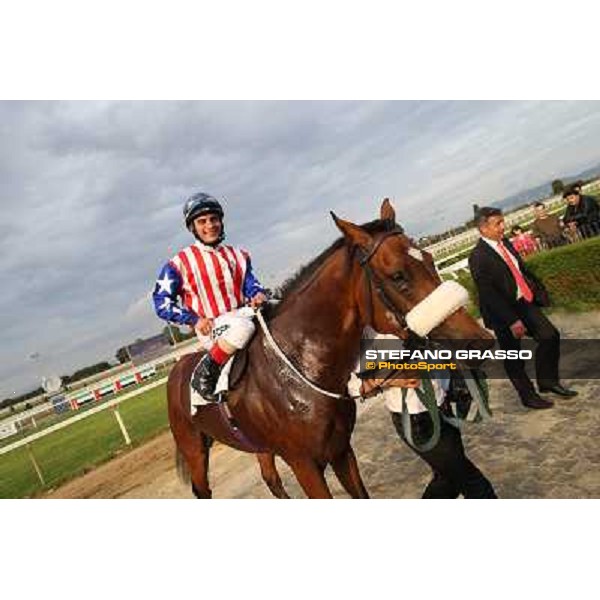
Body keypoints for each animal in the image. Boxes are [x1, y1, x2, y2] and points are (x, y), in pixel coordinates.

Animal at [168, 199, 492, 500]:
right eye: (397, 275)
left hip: (259, 445)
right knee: (202, 489)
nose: (479, 340)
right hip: (194, 449)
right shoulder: (304, 464)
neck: (300, 369)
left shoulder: (340, 450)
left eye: (429, 258)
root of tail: (177, 369)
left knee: (270, 478)